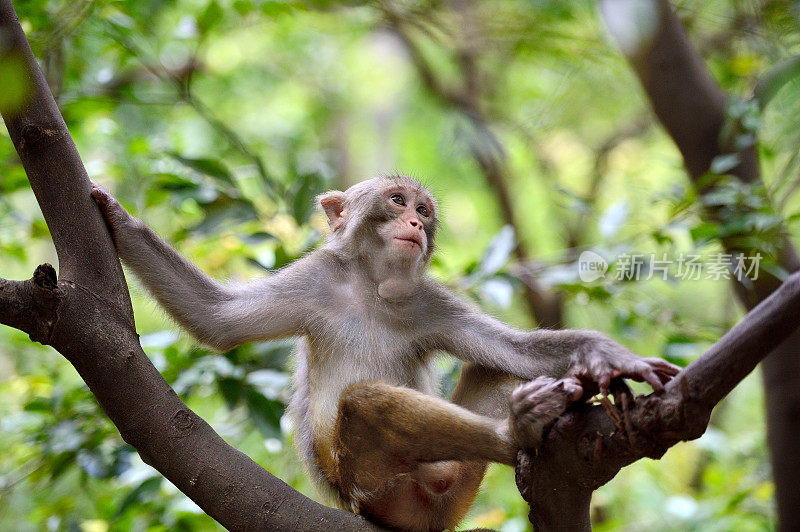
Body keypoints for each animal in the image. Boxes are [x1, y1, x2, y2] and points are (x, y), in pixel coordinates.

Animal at [94, 177, 680, 528]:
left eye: (423, 209)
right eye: (397, 201)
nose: (416, 222)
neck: (372, 290)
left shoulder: (429, 302)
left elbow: (512, 351)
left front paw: (606, 357)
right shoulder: (315, 280)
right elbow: (216, 320)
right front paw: (118, 218)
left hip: (443, 492)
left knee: (491, 371)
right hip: (377, 488)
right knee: (367, 404)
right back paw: (516, 429)